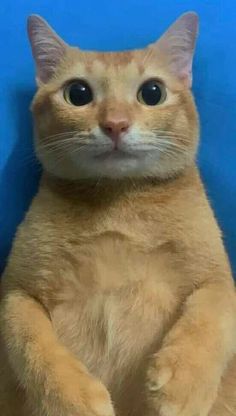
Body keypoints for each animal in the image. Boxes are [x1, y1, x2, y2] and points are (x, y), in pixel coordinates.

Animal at [0, 11, 236, 414]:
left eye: (152, 92)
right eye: (78, 93)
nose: (115, 124)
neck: (118, 199)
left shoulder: (218, 278)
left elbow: (211, 316)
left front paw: (181, 386)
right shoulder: (16, 293)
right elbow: (34, 346)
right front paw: (75, 398)